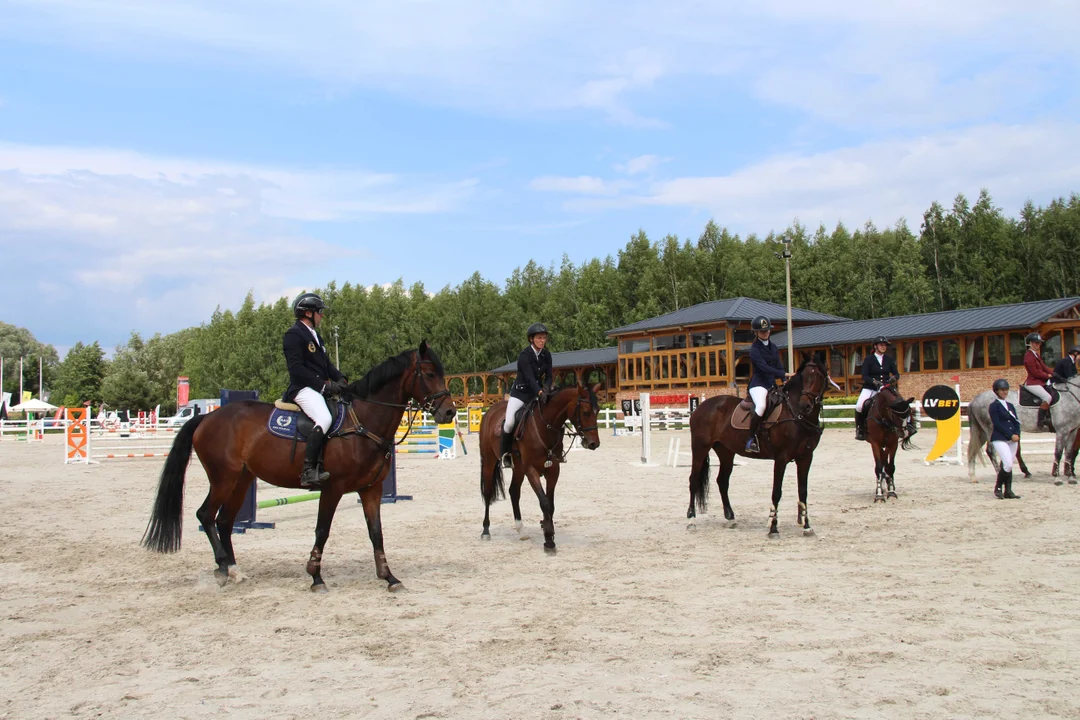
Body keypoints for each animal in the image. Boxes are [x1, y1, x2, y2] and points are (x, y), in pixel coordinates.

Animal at [140, 343, 455, 591]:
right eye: (429, 375)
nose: (450, 412)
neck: (362, 422)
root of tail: (207, 418)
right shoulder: (332, 488)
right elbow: (322, 530)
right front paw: (316, 577)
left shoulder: (372, 490)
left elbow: (376, 532)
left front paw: (389, 577)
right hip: (223, 478)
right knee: (206, 515)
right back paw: (222, 568)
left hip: (241, 480)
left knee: (225, 521)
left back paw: (234, 570)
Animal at [477, 386, 604, 557]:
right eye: (585, 412)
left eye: (598, 411)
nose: (593, 443)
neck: (545, 426)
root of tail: (490, 411)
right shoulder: (531, 470)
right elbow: (544, 502)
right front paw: (549, 541)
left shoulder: (553, 469)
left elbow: (551, 503)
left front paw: (548, 528)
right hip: (490, 461)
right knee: (488, 492)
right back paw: (486, 531)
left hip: (518, 468)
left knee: (514, 491)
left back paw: (521, 530)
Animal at [686, 358, 829, 535]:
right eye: (803, 378)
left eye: (819, 377)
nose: (805, 406)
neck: (797, 416)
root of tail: (701, 406)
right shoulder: (781, 458)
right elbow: (776, 491)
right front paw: (773, 527)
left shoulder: (806, 458)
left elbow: (803, 491)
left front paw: (807, 527)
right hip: (700, 448)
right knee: (693, 479)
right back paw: (691, 519)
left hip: (725, 452)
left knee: (722, 481)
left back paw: (730, 517)